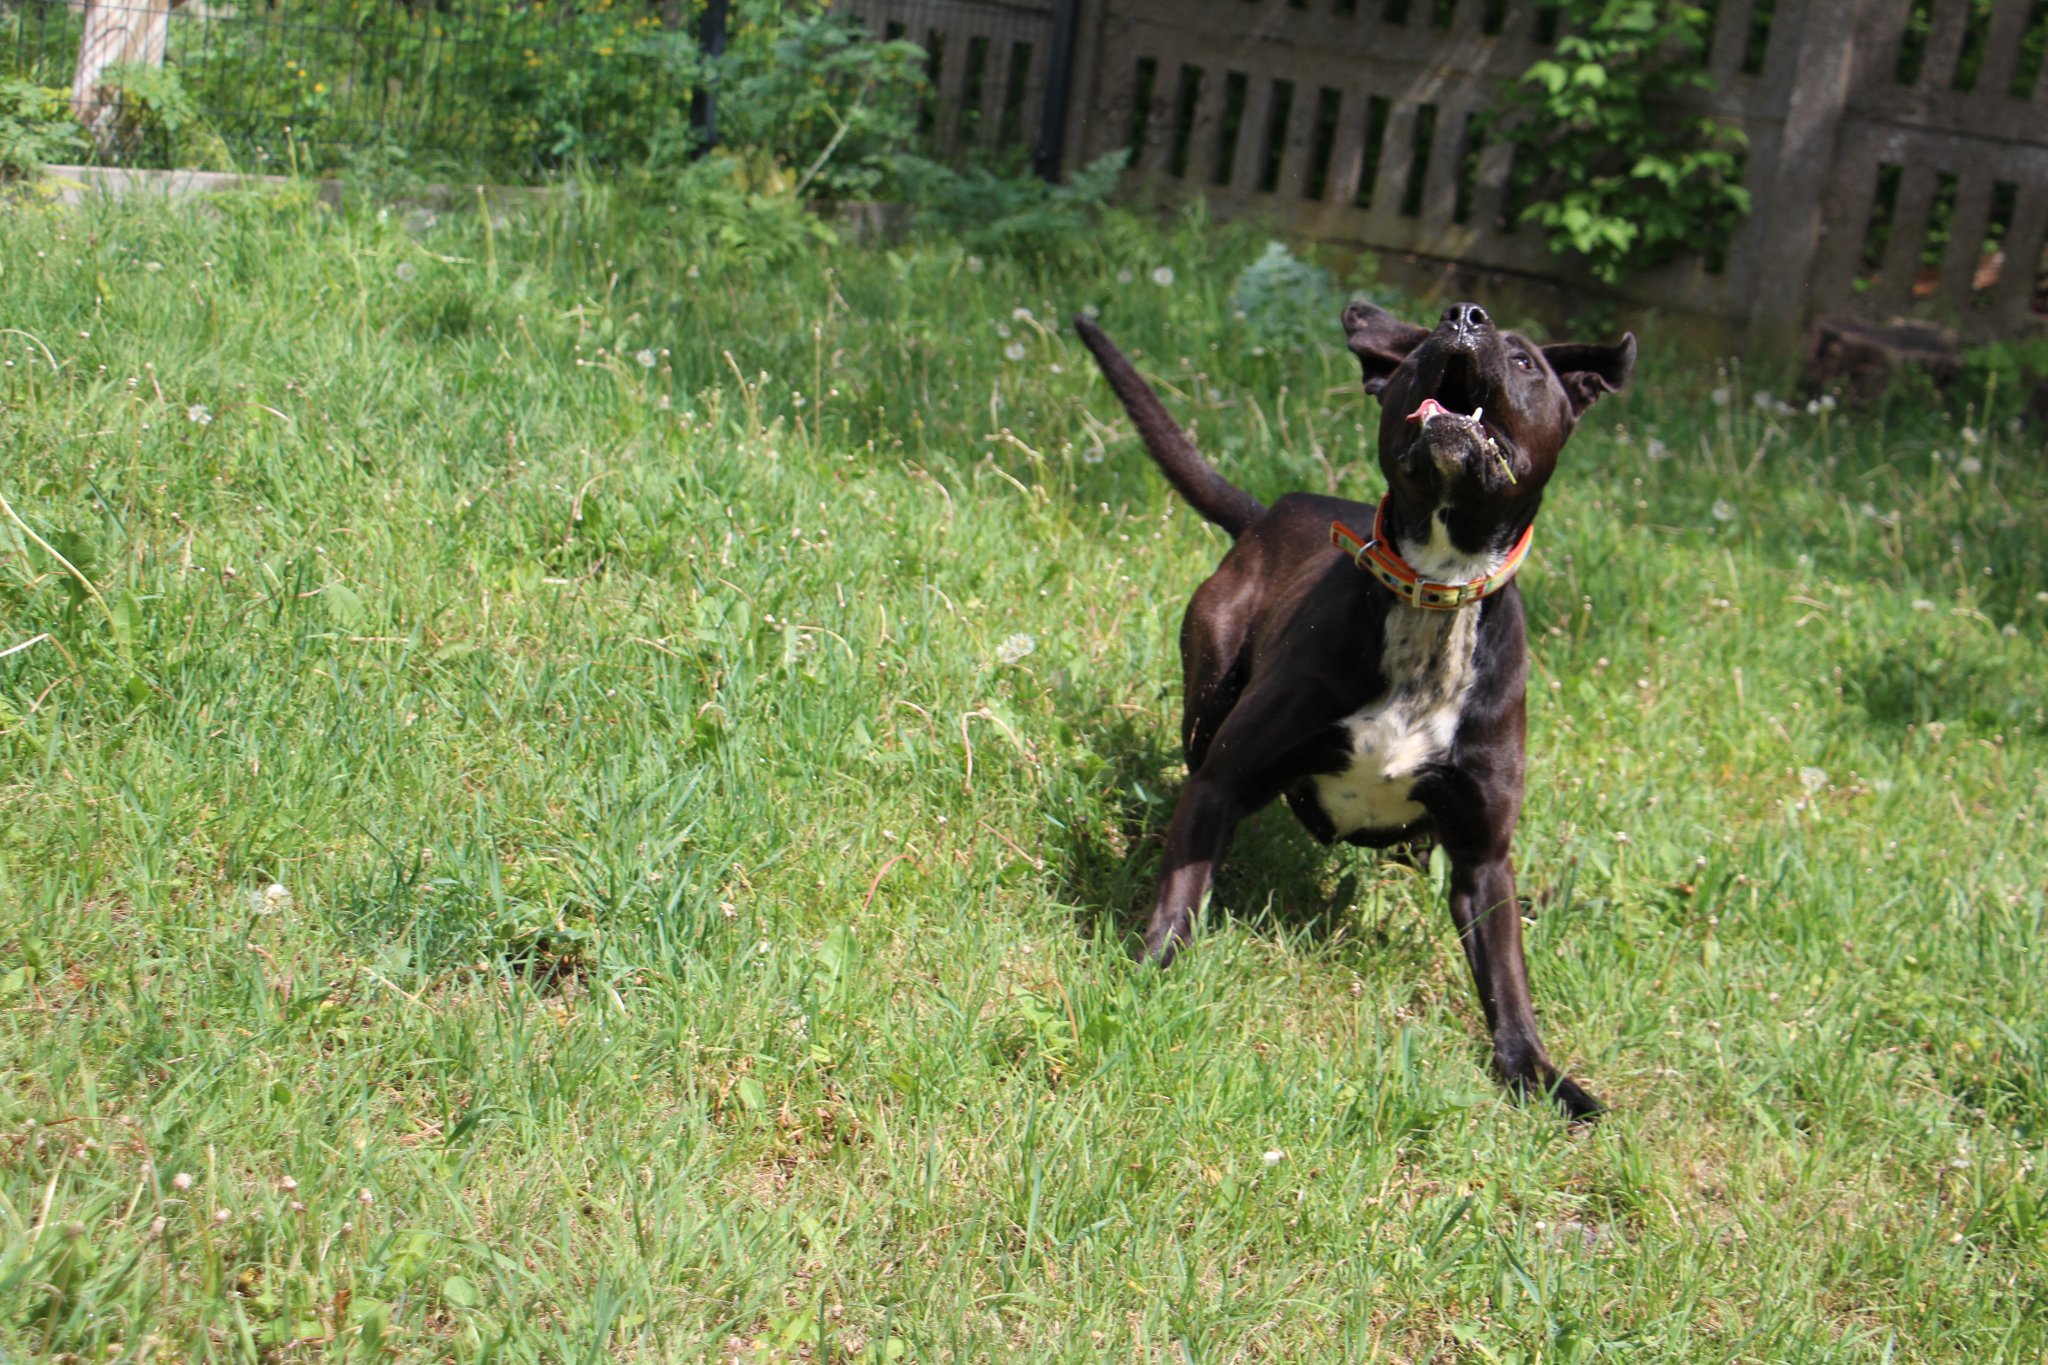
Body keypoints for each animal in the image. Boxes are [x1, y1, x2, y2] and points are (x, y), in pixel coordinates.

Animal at [1074, 300, 1635, 1119]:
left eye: (1526, 361)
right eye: (1429, 337)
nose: (1465, 316)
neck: (1436, 586)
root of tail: (1269, 512)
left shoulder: (1482, 855)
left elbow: (1507, 979)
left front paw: (1540, 1077)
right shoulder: (1223, 779)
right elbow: (1179, 890)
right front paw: (1149, 976)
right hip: (1206, 693)